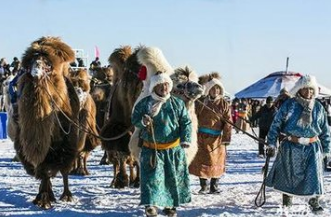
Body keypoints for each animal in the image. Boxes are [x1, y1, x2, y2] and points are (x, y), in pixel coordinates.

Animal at [13, 36, 80, 209]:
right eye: (28, 66)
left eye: (48, 65)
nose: (36, 72)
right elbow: (43, 168)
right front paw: (43, 199)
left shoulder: (67, 142)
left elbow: (63, 169)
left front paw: (65, 196)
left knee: (64, 168)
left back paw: (66, 195)